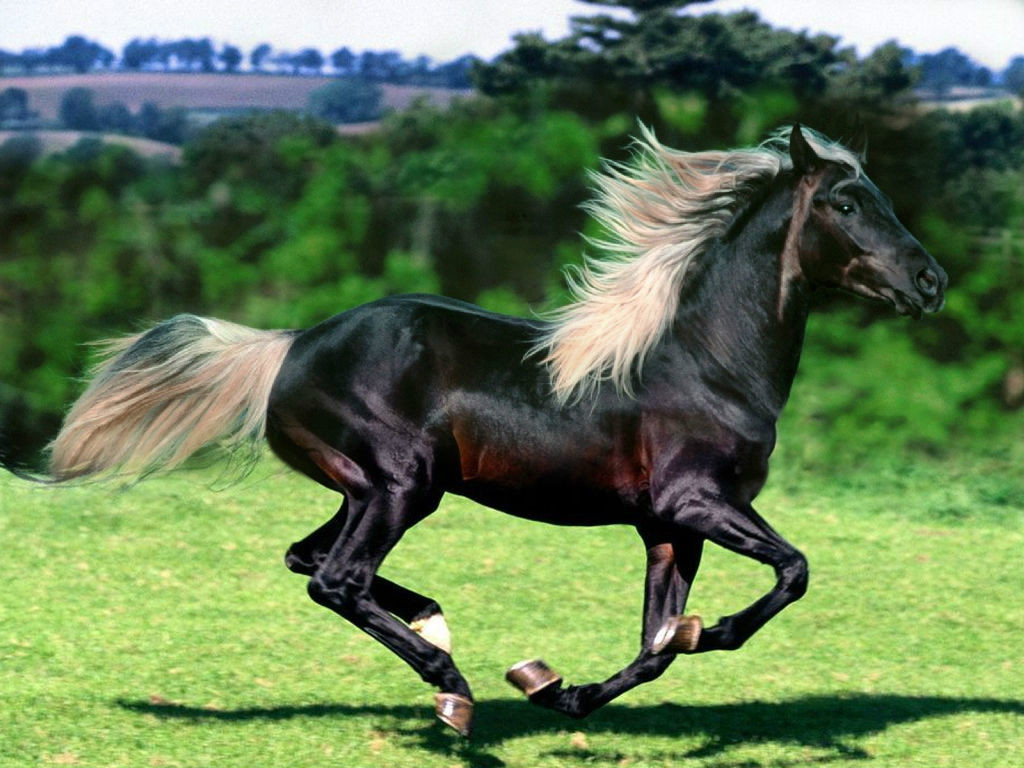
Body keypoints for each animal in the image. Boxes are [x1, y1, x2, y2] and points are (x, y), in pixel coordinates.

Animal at [43, 125, 947, 737]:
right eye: (846, 203)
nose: (931, 282)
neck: (707, 361)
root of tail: (291, 347)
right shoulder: (696, 503)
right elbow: (793, 571)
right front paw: (711, 632)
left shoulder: (666, 527)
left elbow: (656, 643)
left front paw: (557, 688)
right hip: (400, 486)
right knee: (336, 578)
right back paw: (452, 687)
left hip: (371, 489)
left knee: (313, 562)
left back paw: (439, 630)